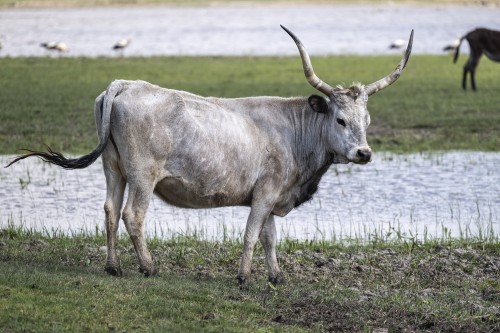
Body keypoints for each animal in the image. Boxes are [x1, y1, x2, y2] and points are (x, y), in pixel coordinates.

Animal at [6, 26, 414, 284]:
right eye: (341, 119)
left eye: (366, 120)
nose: (364, 153)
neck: (294, 132)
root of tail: (123, 84)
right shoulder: (265, 194)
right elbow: (252, 235)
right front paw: (244, 277)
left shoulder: (271, 196)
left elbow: (270, 237)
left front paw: (276, 276)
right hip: (142, 174)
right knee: (132, 215)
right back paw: (148, 267)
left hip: (113, 168)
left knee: (108, 211)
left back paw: (113, 267)